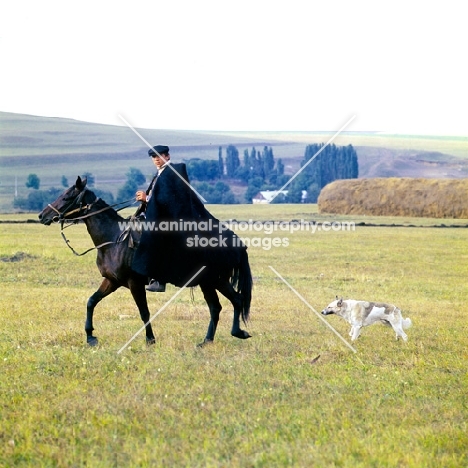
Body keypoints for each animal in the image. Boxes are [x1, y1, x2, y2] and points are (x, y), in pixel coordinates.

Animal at [38, 177, 252, 346]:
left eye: (67, 197)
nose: (42, 215)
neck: (114, 239)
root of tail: (236, 242)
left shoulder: (135, 283)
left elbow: (144, 312)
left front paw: (150, 340)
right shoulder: (112, 281)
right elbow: (91, 301)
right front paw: (90, 337)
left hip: (216, 280)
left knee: (236, 300)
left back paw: (237, 333)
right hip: (208, 283)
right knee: (217, 307)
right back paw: (206, 341)